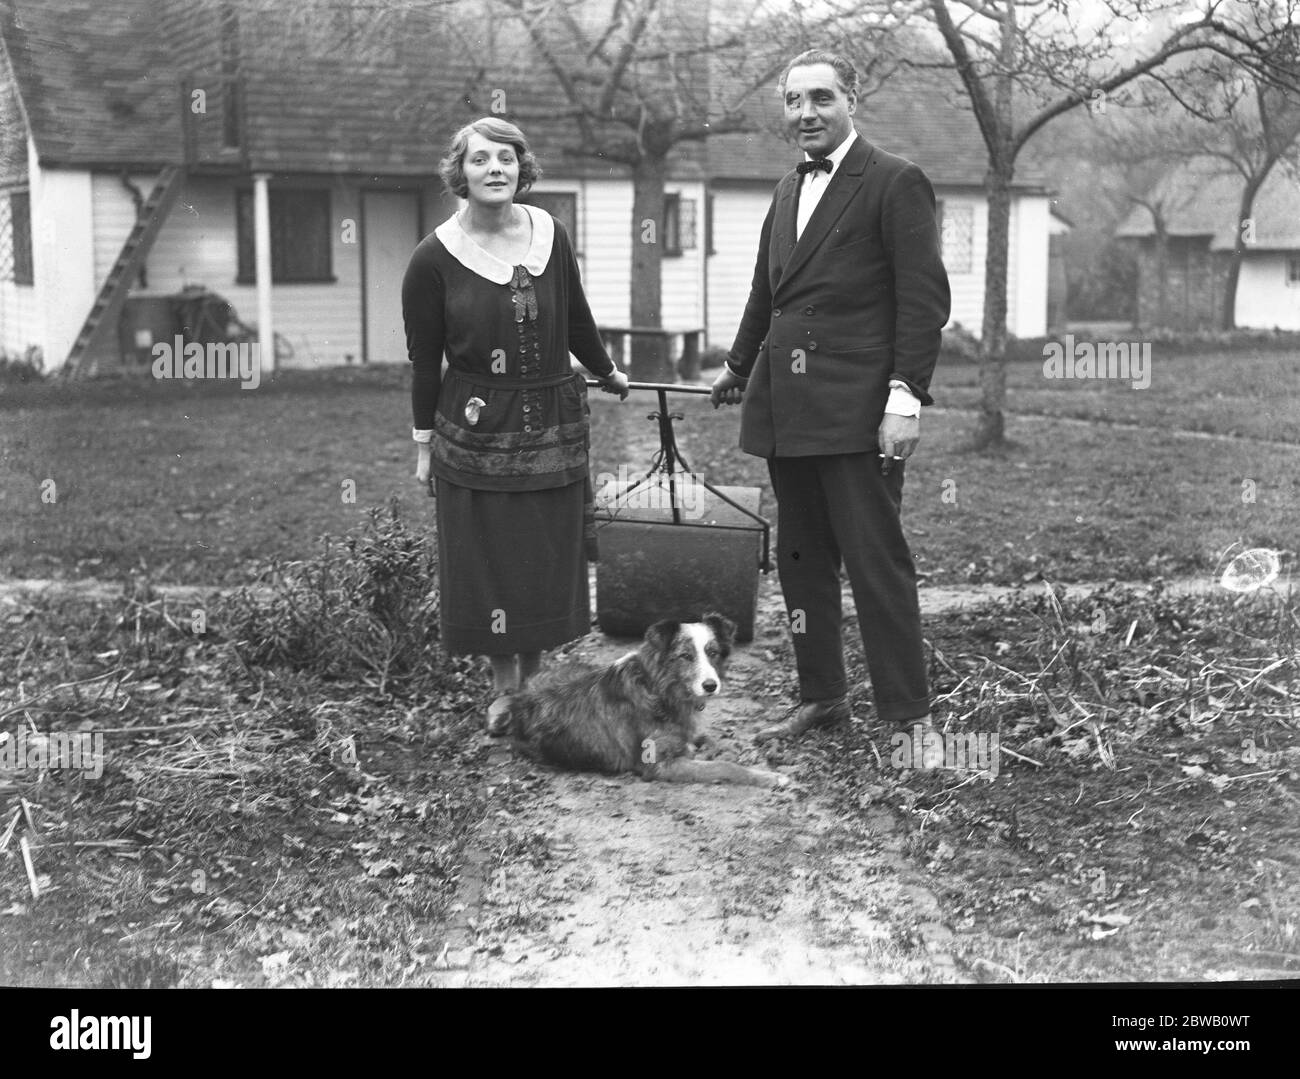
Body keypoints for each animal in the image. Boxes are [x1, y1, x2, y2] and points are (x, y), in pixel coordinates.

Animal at [488, 616, 785, 785]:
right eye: (685, 656)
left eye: (712, 652)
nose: (711, 686)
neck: (659, 688)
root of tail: (519, 697)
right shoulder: (658, 765)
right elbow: (725, 767)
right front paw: (767, 776)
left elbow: (706, 739)